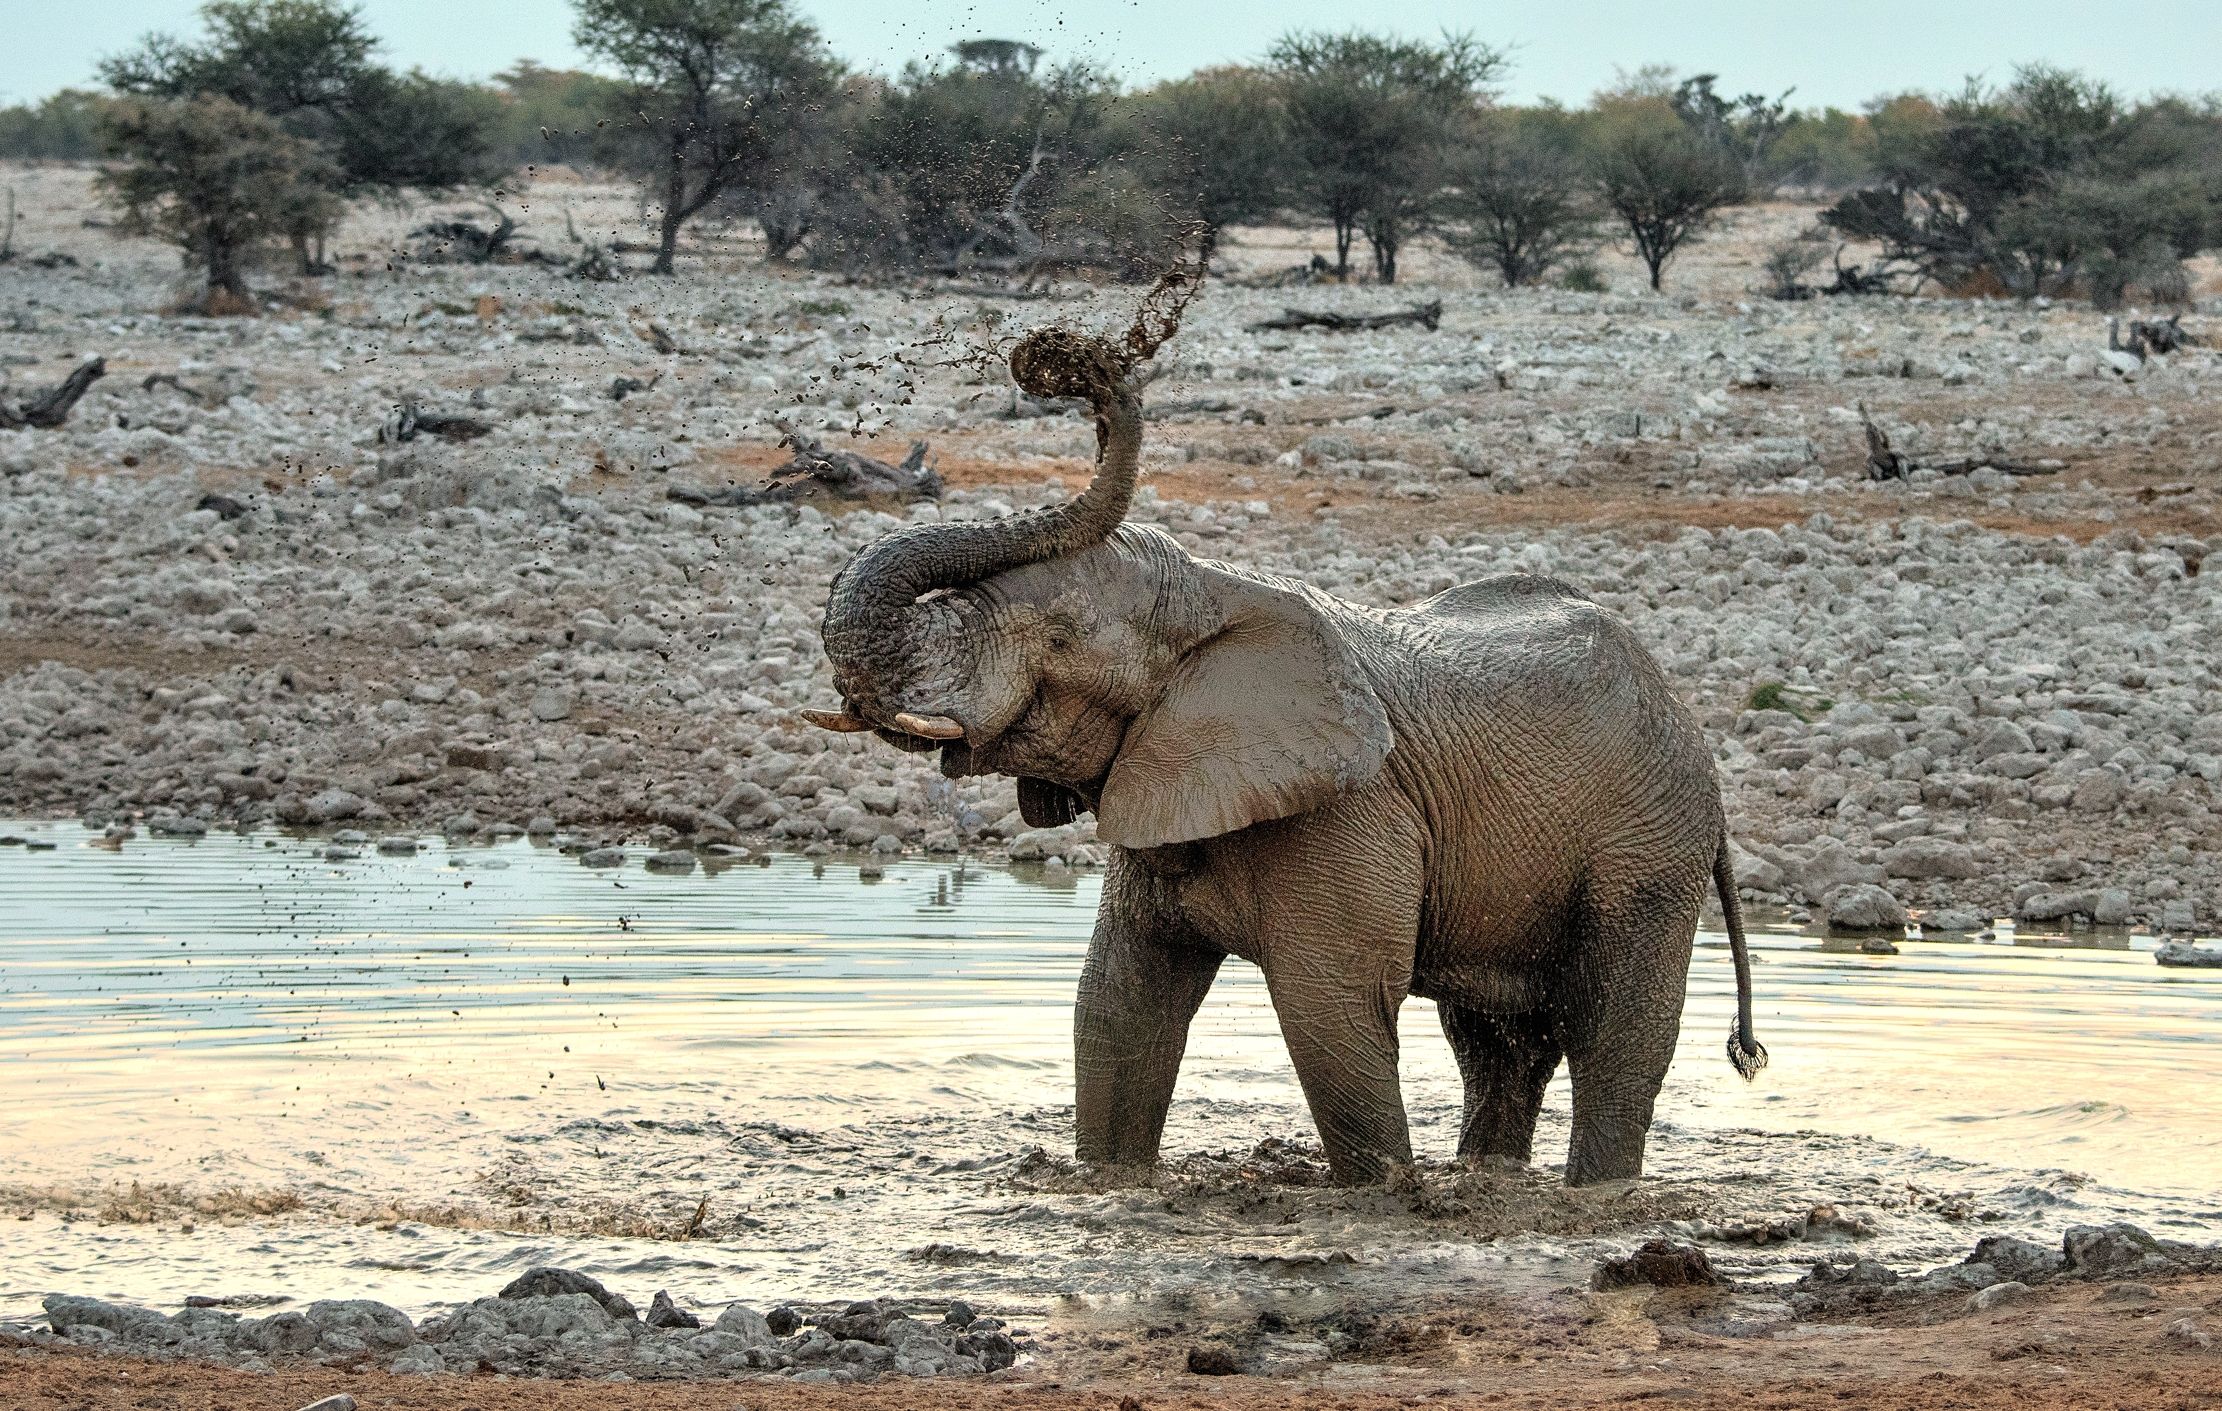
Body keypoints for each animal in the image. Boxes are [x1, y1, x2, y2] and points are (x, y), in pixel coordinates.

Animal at [802, 324, 1765, 1187]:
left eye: (1061, 637)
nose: (1060, 361)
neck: (1214, 588)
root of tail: (1689, 728)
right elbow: (1118, 1004)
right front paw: (1107, 1182)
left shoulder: (1348, 809)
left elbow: (1329, 1009)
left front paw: (1382, 1196)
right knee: (1498, 1043)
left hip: (1647, 846)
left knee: (1613, 1032)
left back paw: (1598, 1191)